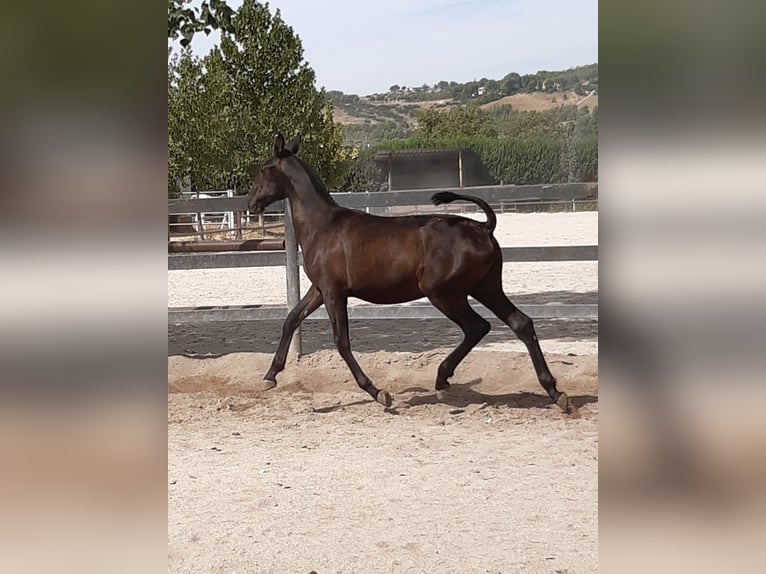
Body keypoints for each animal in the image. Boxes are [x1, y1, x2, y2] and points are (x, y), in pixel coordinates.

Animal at [249, 135, 572, 414]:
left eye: (264, 169)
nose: (251, 203)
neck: (323, 226)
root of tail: (483, 227)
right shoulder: (319, 289)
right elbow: (291, 320)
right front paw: (269, 376)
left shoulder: (333, 292)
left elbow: (342, 341)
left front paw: (378, 393)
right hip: (487, 288)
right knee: (521, 324)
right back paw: (556, 393)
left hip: (444, 293)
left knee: (477, 326)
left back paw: (442, 378)